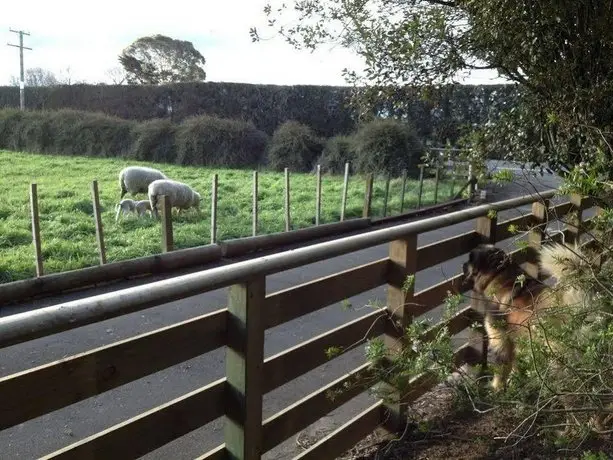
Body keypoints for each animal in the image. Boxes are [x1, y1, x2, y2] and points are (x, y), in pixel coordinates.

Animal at [462, 243, 584, 390]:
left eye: (470, 259)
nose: (463, 265)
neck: (499, 275)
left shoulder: (501, 340)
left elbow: (501, 367)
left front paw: (497, 387)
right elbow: (515, 363)